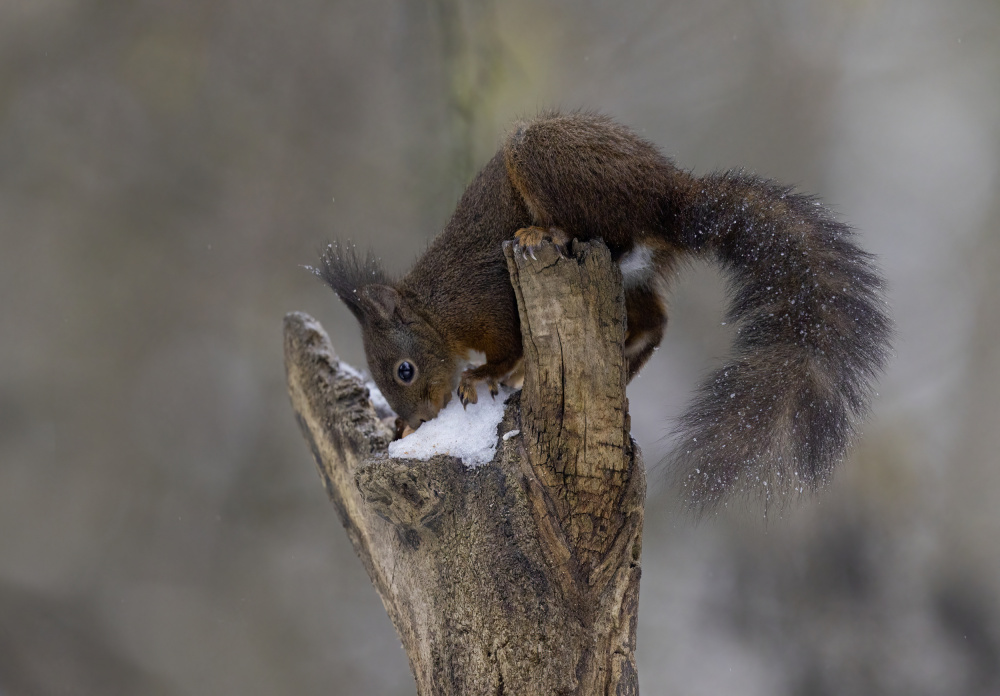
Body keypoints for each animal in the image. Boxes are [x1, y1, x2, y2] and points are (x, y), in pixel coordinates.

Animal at [314, 113, 892, 506]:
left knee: (608, 239)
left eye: (404, 370)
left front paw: (481, 376)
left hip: (549, 163)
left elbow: (506, 350)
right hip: (630, 276)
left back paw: (545, 232)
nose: (419, 420)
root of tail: (670, 199)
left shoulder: (488, 303)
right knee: (655, 320)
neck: (437, 313)